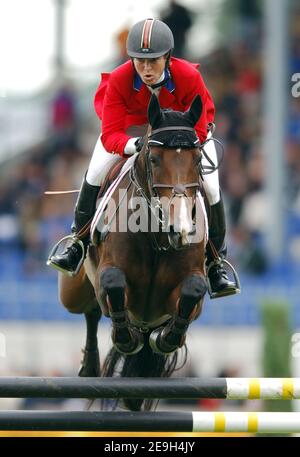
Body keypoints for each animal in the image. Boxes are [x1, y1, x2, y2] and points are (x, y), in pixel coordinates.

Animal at [58, 92, 209, 410]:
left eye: (199, 159)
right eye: (153, 159)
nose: (180, 229)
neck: (157, 237)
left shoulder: (190, 290)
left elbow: (193, 291)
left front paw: (163, 339)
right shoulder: (110, 275)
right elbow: (113, 283)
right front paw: (127, 339)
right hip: (73, 292)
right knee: (90, 311)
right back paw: (91, 367)